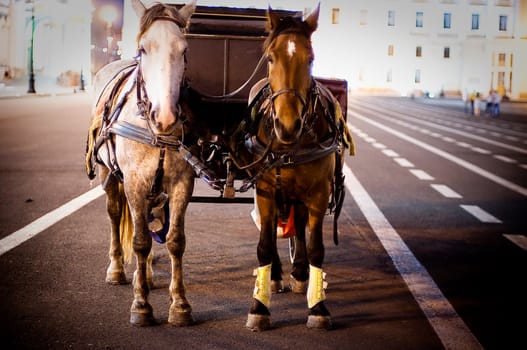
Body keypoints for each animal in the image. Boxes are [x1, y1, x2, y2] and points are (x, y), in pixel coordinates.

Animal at [86, 0, 198, 326]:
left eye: (184, 49)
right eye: (144, 49)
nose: (166, 116)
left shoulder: (182, 184)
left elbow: (175, 240)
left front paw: (180, 304)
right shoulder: (134, 182)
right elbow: (138, 241)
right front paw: (141, 305)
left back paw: (144, 273)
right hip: (109, 175)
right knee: (114, 215)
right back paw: (118, 270)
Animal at [241, 4, 352, 330]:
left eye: (310, 58)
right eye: (270, 57)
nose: (288, 125)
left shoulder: (318, 193)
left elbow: (315, 246)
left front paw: (318, 307)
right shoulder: (265, 191)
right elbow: (264, 244)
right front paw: (259, 306)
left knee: (299, 226)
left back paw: (300, 274)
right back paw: (276, 274)